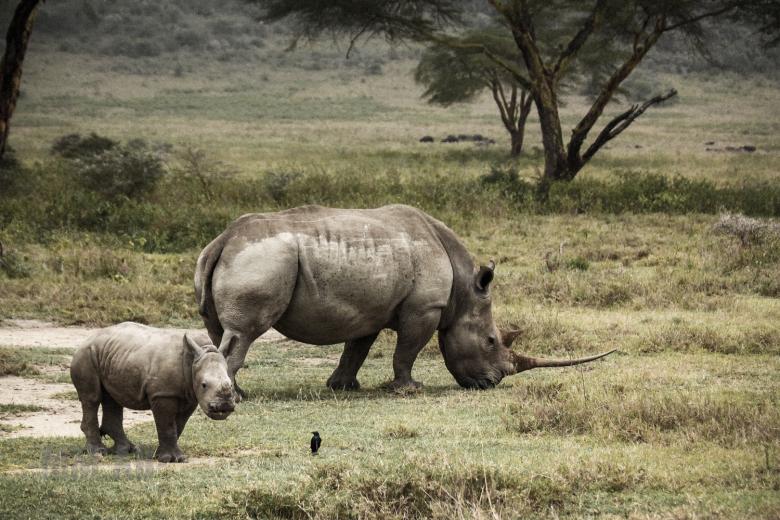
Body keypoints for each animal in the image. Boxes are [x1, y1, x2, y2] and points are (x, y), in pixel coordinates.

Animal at [70, 322, 236, 462]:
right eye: (204, 385)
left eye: (231, 384)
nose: (223, 407)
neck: (193, 361)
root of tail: (87, 339)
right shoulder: (163, 393)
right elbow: (167, 425)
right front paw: (171, 459)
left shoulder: (189, 396)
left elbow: (178, 425)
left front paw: (162, 455)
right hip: (86, 355)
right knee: (92, 398)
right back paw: (98, 452)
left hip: (112, 355)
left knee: (112, 399)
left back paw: (126, 450)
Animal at [195, 204, 614, 394]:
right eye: (492, 341)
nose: (491, 382)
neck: (464, 291)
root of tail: (222, 239)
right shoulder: (425, 308)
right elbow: (407, 350)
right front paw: (409, 389)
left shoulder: (367, 310)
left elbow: (357, 348)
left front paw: (343, 387)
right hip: (263, 259)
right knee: (245, 332)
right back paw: (239, 396)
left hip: (240, 257)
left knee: (219, 330)